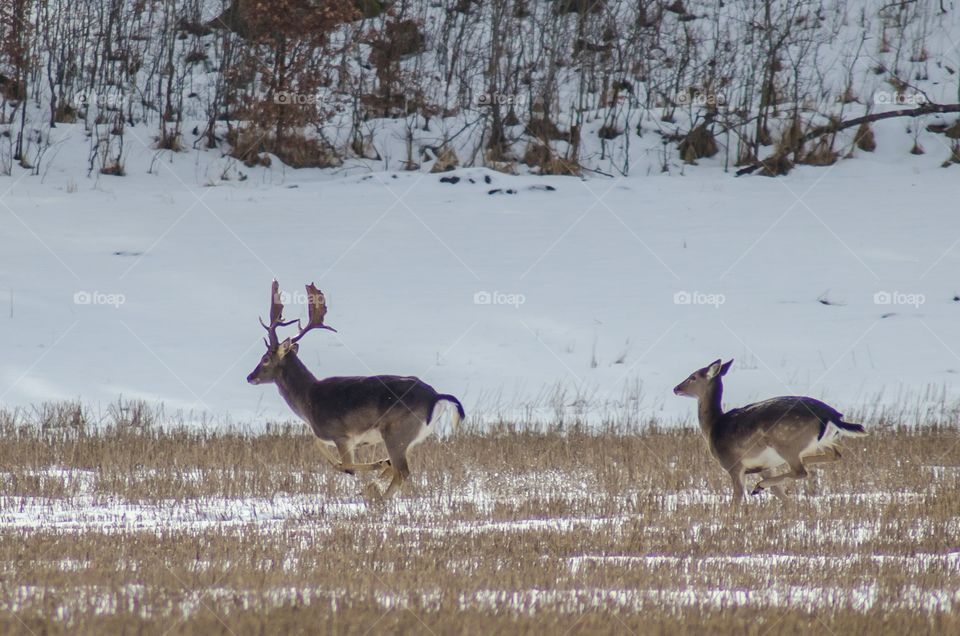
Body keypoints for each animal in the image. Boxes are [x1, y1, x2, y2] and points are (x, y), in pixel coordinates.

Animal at [248, 282, 464, 496]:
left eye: (265, 359)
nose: (250, 377)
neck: (308, 402)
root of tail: (436, 396)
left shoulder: (341, 434)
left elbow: (345, 465)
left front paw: (376, 466)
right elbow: (319, 445)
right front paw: (377, 470)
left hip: (397, 432)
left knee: (402, 471)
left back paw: (380, 493)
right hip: (415, 436)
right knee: (400, 469)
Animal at [672, 360, 868, 510]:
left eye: (693, 376)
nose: (676, 388)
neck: (713, 428)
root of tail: (831, 415)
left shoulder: (733, 464)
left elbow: (737, 497)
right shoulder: (764, 466)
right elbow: (780, 494)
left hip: (787, 443)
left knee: (800, 470)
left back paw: (761, 486)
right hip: (824, 441)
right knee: (834, 455)